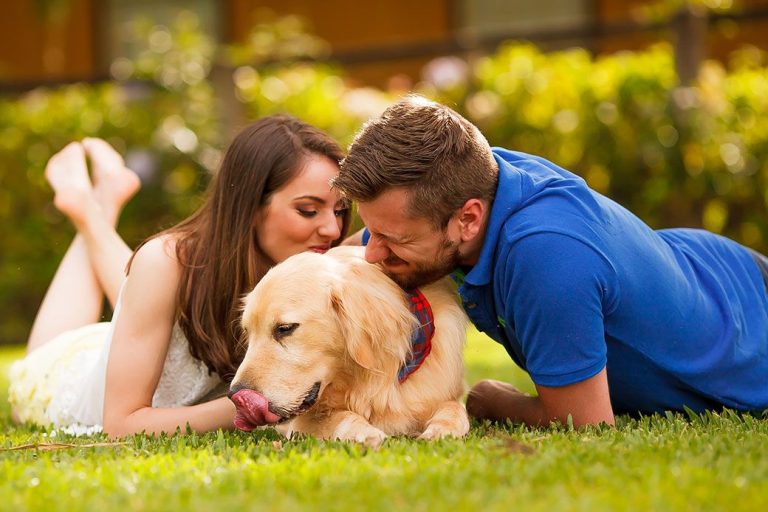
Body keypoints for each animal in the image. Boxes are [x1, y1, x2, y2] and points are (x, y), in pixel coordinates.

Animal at [228, 246, 468, 446]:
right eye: (248, 332)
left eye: (284, 328)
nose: (234, 395)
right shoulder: (301, 422)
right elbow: (340, 416)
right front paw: (366, 433)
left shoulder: (441, 396)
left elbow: (455, 410)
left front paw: (441, 432)